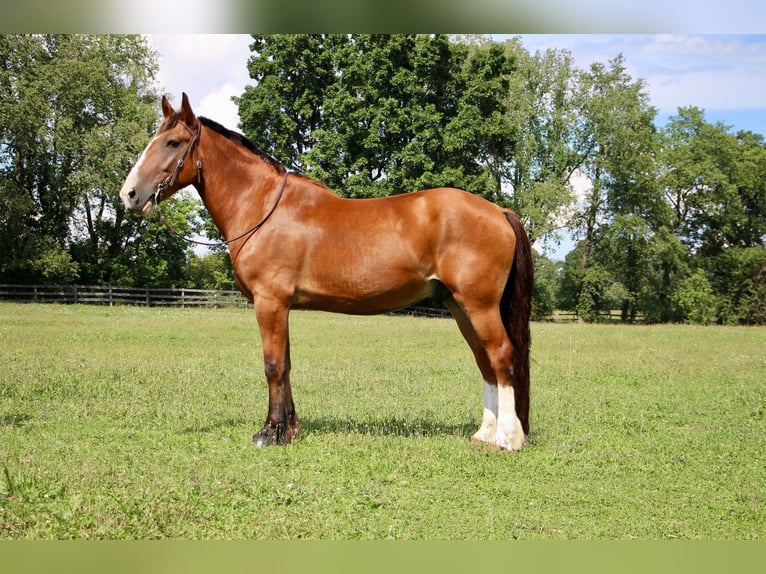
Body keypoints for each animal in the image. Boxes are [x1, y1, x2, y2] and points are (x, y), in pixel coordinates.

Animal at [120, 94, 536, 452]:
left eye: (172, 142)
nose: (129, 195)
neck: (264, 208)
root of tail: (498, 211)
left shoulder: (269, 303)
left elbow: (272, 366)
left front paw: (268, 433)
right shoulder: (281, 306)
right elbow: (286, 365)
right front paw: (289, 430)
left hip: (478, 305)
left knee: (501, 355)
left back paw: (507, 438)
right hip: (459, 306)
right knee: (484, 361)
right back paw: (484, 433)